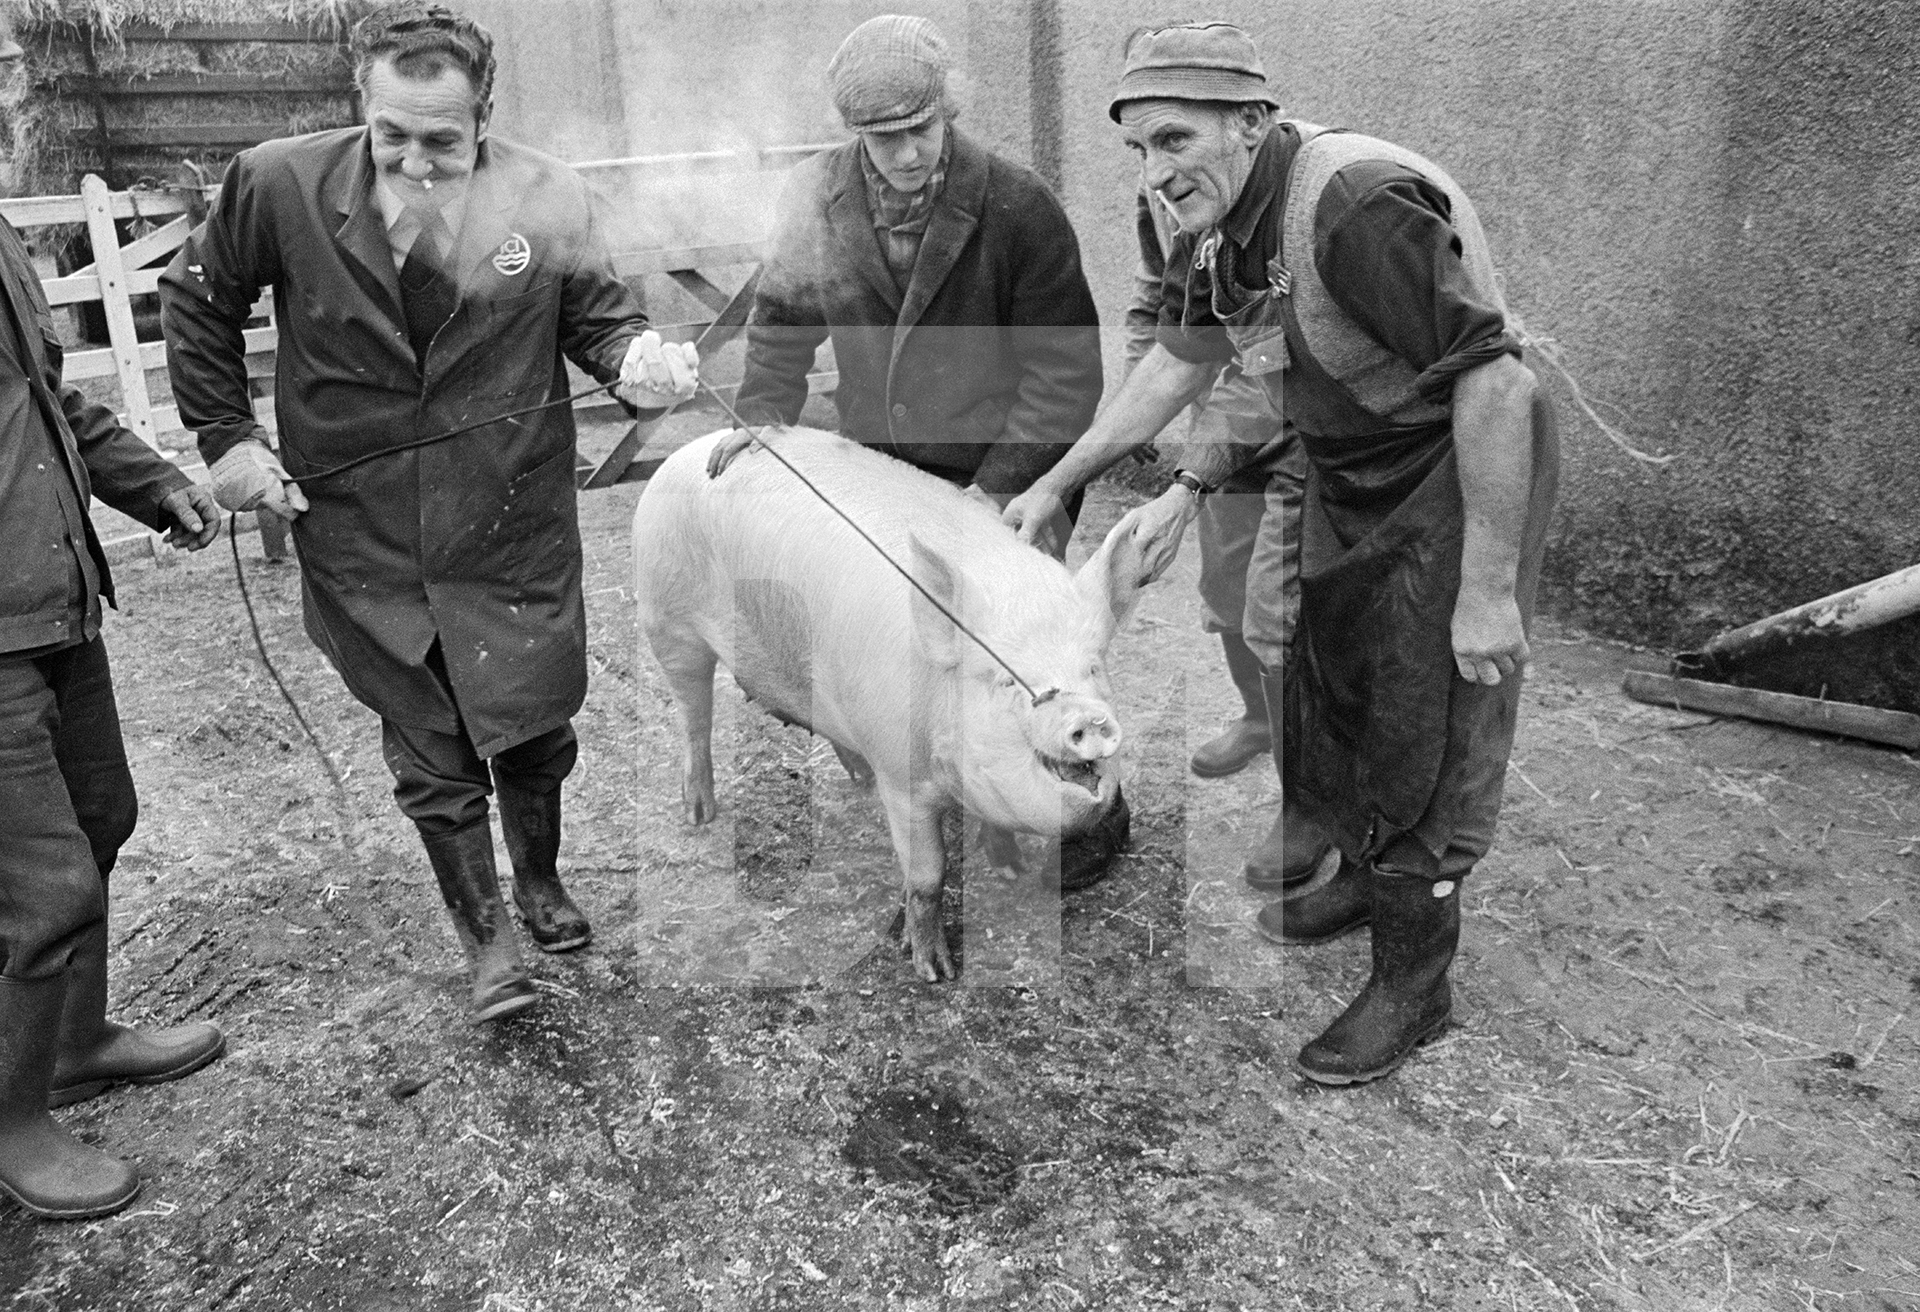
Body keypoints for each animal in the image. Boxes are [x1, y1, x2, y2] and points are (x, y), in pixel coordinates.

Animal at [633, 426, 1152, 979]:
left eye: (1092, 668)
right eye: (1007, 681)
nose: (1089, 718)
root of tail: (688, 450)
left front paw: (1012, 869)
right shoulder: (902, 775)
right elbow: (927, 874)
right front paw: (934, 970)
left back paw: (858, 775)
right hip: (666, 620)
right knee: (694, 714)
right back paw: (700, 814)